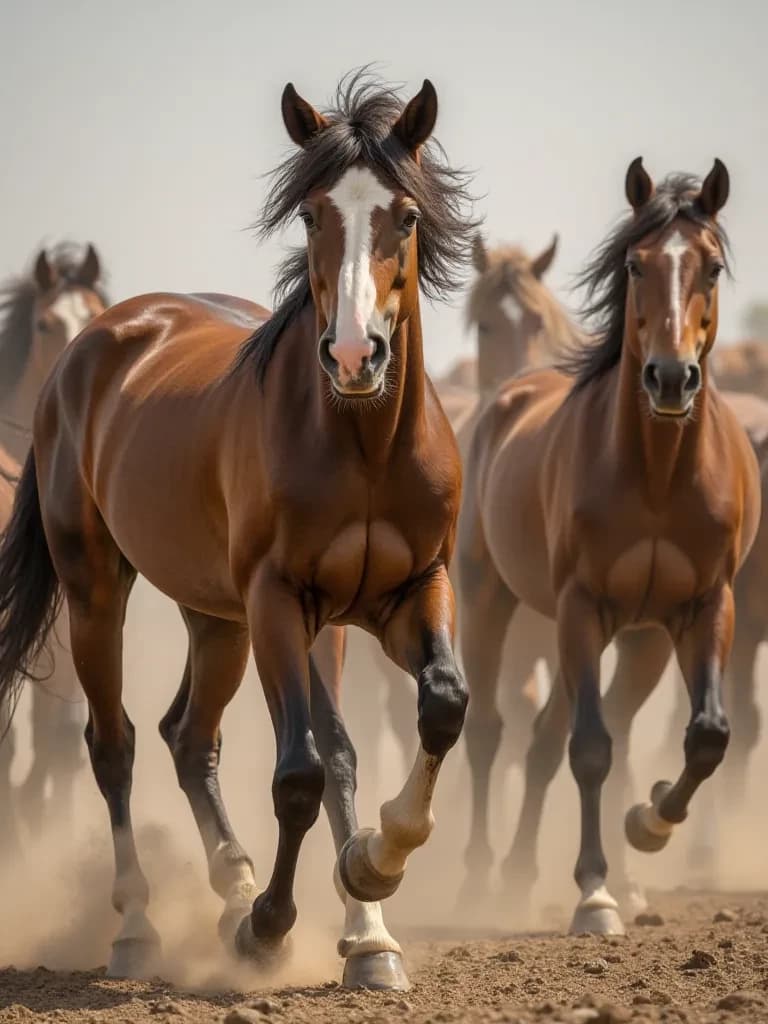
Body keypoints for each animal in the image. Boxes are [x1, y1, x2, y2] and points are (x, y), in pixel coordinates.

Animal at [0, 72, 477, 990]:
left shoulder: (410, 590)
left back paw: (234, 889)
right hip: (99, 593)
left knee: (191, 738)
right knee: (114, 745)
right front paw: (271, 929)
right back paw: (141, 928)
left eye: (404, 214)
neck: (362, 441)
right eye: (311, 215)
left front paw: (372, 891)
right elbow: (301, 772)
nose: (355, 356)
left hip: (216, 618)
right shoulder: (280, 603)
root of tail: (98, 340)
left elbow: (431, 711)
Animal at [458, 157, 760, 935]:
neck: (655, 472)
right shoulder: (580, 607)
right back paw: (482, 875)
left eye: (712, 266)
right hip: (488, 599)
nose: (671, 377)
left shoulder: (704, 608)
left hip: (641, 639)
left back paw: (533, 871)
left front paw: (648, 824)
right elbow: (590, 748)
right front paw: (593, 894)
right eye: (634, 263)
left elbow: (706, 735)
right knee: (491, 732)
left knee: (549, 737)